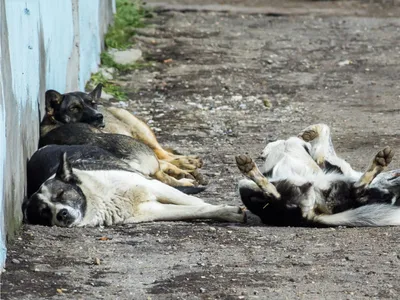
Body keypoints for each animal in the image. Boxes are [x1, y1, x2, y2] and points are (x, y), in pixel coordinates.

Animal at [236, 123, 400, 226]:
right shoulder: (324, 161)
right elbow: (323, 131)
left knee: (273, 195)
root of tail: (307, 217)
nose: (388, 195)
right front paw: (309, 133)